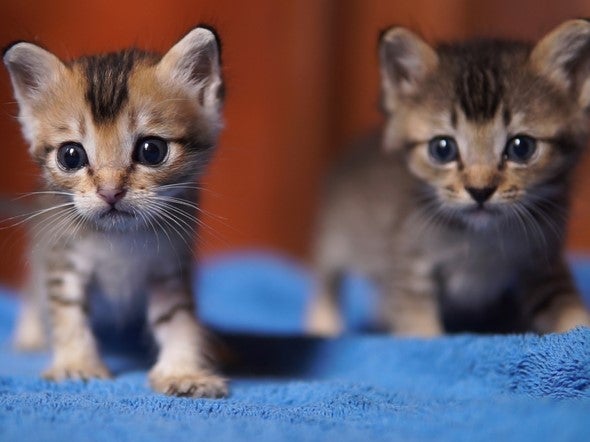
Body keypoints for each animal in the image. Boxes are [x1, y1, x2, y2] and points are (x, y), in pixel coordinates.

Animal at [2, 26, 229, 398]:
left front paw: (183, 371)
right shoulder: (62, 257)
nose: (110, 192)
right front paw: (76, 364)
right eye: (70, 156)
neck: (119, 238)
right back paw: (30, 334)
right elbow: (67, 312)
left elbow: (178, 318)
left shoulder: (169, 266)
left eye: (152, 151)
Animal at [308, 19, 590, 334]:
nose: (480, 191)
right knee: (326, 279)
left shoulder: (544, 263)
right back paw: (323, 322)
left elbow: (567, 307)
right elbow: (419, 329)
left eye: (521, 147)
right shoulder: (408, 266)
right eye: (442, 149)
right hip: (334, 237)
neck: (482, 236)